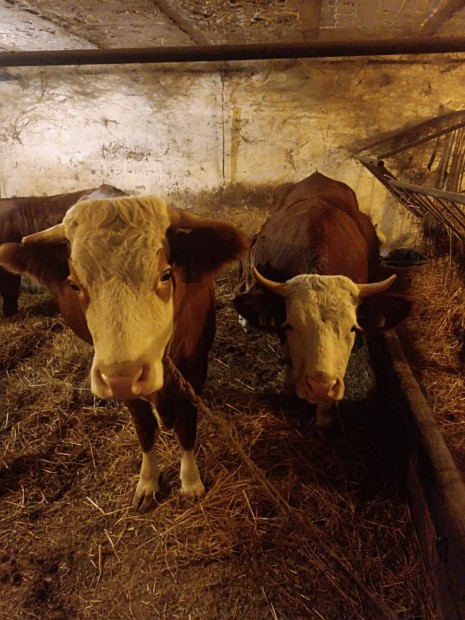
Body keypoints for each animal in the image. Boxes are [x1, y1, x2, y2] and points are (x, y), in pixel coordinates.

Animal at [232, 170, 410, 432]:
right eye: (291, 326)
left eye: (353, 328)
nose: (320, 388)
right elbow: (289, 358)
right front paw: (289, 389)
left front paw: (325, 417)